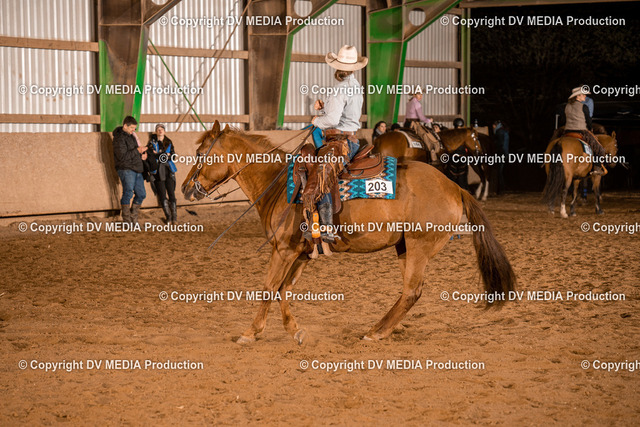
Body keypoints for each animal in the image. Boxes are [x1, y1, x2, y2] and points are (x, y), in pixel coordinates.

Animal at [182, 121, 516, 344]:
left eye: (200, 153)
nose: (185, 188)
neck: (280, 186)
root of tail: (456, 188)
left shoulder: (283, 249)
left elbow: (268, 288)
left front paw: (250, 333)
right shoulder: (300, 253)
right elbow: (283, 290)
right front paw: (295, 331)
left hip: (420, 244)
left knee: (412, 291)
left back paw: (376, 332)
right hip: (405, 247)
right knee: (408, 292)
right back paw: (388, 327)